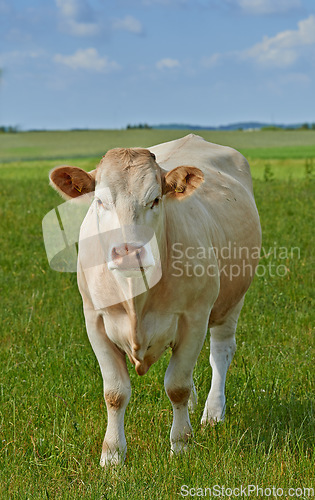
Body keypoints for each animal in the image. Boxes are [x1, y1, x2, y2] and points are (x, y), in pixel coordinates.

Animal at [49, 133, 262, 464]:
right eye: (100, 201)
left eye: (156, 200)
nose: (128, 252)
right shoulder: (94, 320)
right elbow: (115, 392)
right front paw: (112, 455)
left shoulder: (194, 317)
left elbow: (177, 386)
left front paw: (181, 445)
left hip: (232, 300)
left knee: (220, 353)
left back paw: (213, 412)